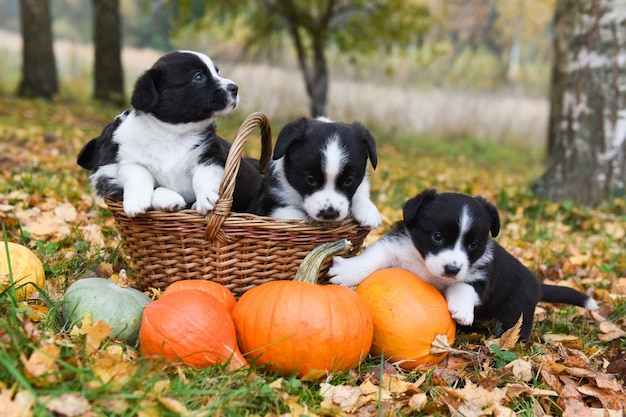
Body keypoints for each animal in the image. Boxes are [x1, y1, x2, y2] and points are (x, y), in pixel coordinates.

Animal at [77, 50, 260, 216]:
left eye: (217, 72)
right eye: (198, 77)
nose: (235, 88)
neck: (171, 134)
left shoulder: (211, 153)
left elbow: (203, 174)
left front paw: (206, 200)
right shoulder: (130, 161)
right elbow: (138, 175)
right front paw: (138, 202)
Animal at [252, 116, 380, 228]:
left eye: (349, 180)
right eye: (310, 180)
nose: (329, 213)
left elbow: (359, 191)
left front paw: (368, 210)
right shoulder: (268, 205)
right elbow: (293, 215)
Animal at [326, 190, 596, 340]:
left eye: (472, 244)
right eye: (437, 236)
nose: (452, 269)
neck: (426, 266)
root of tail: (538, 284)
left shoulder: (482, 273)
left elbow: (465, 286)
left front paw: (461, 310)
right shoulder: (396, 246)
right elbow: (372, 258)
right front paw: (346, 272)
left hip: (517, 310)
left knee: (516, 328)